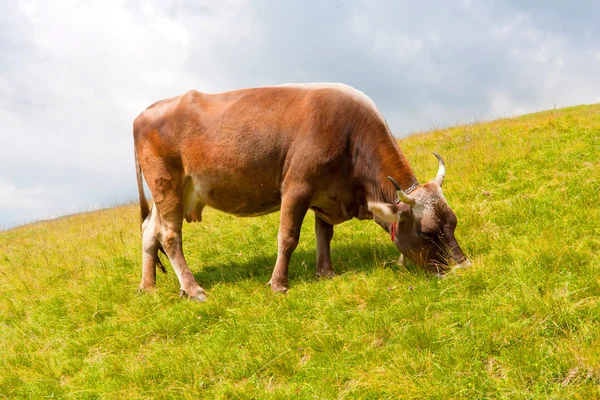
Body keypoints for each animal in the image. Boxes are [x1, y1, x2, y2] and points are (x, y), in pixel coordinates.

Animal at [134, 82, 472, 300]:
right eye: (427, 232)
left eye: (453, 223)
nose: (463, 266)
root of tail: (147, 110)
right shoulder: (296, 187)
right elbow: (288, 238)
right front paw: (279, 285)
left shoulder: (326, 195)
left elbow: (324, 234)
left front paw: (326, 272)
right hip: (167, 184)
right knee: (170, 236)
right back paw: (193, 289)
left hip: (172, 193)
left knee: (150, 230)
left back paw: (148, 286)